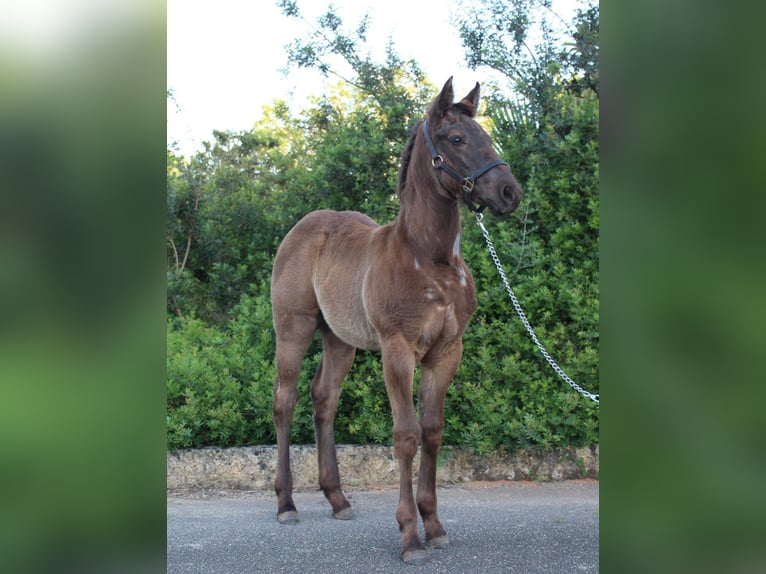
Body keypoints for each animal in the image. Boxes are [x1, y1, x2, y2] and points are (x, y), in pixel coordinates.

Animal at [270, 77, 523, 565]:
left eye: (486, 133)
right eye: (456, 139)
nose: (509, 192)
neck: (431, 259)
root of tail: (303, 227)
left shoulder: (446, 352)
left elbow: (433, 432)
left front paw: (435, 526)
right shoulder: (398, 349)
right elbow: (405, 434)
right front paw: (410, 537)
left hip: (340, 340)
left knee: (324, 398)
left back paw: (338, 499)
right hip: (293, 329)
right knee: (284, 400)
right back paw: (286, 503)